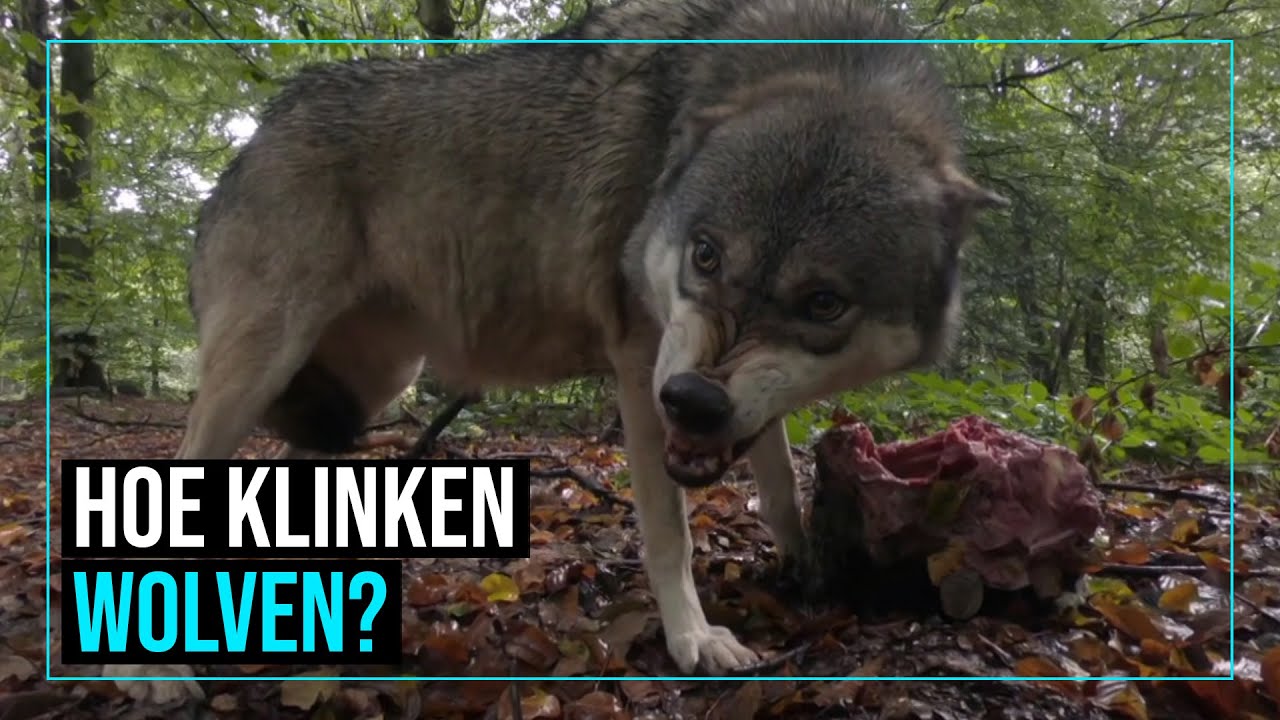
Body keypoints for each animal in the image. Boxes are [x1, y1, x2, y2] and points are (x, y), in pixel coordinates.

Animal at [172, 0, 1006, 676]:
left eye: (824, 302)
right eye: (707, 255)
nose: (692, 401)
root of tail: (262, 125)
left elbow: (775, 479)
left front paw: (804, 564)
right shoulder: (641, 368)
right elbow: (671, 533)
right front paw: (694, 638)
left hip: (371, 386)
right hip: (264, 368)